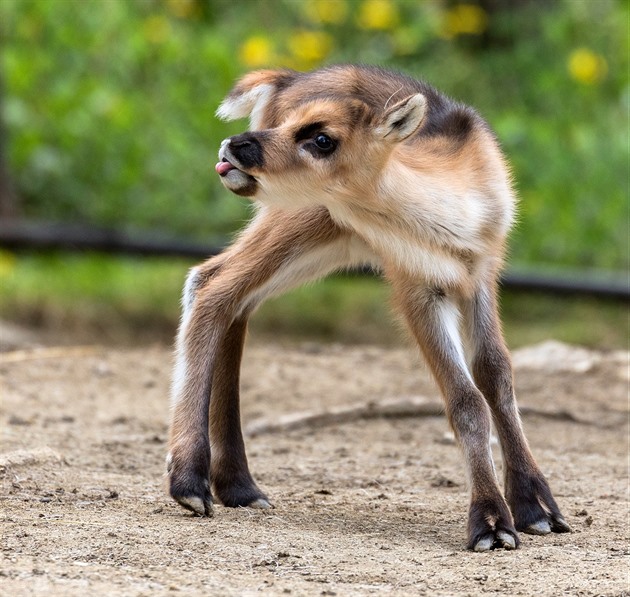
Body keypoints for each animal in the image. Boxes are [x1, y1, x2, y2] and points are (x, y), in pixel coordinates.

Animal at [168, 64, 572, 548]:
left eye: (323, 138)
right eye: (292, 125)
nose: (235, 146)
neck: (456, 221)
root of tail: (284, 79)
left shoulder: (482, 277)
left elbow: (497, 375)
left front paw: (537, 508)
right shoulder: (415, 287)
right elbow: (466, 401)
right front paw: (491, 524)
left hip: (324, 240)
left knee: (230, 295)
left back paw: (240, 487)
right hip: (299, 221)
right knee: (212, 285)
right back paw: (190, 484)